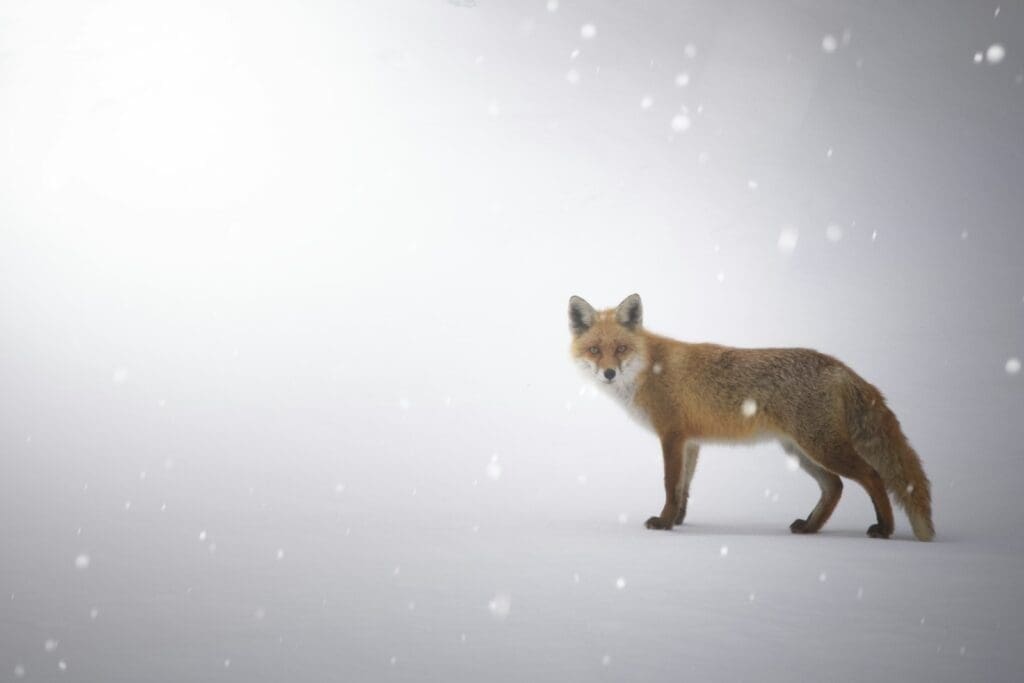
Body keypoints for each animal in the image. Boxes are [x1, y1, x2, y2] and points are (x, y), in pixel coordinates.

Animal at [568, 293, 934, 541]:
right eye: (595, 350)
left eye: (621, 349)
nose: (609, 373)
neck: (648, 369)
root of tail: (838, 366)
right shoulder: (691, 442)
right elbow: (684, 488)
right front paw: (678, 521)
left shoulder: (671, 435)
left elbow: (671, 485)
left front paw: (663, 522)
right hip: (800, 450)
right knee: (835, 486)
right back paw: (810, 527)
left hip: (822, 447)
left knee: (872, 476)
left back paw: (884, 528)